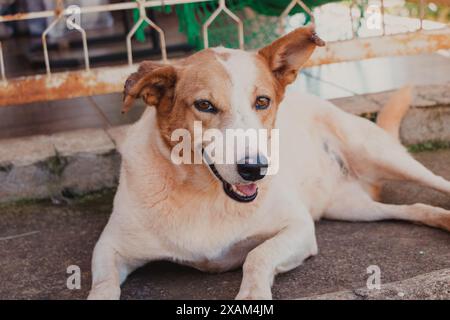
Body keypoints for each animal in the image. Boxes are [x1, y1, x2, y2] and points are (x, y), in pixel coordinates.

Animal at [88, 25, 450, 300]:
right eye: (204, 105)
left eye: (262, 101)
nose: (255, 169)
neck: (204, 195)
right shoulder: (109, 247)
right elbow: (102, 286)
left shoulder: (299, 228)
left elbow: (256, 256)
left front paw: (252, 294)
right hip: (351, 208)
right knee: (413, 208)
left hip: (380, 154)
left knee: (436, 183)